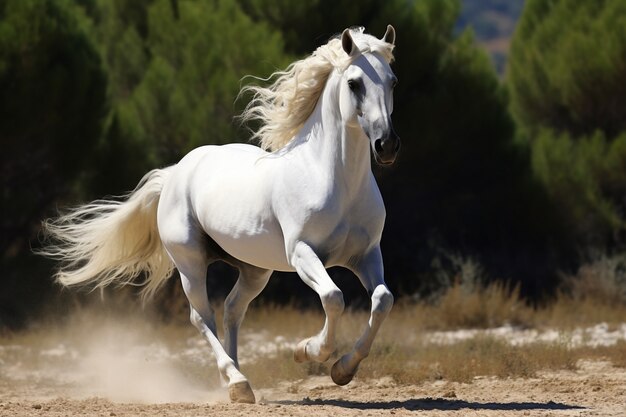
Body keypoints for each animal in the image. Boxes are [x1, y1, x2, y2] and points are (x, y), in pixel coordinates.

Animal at [41, 24, 398, 402]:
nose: (387, 145)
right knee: (202, 317)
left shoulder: (366, 255)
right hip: (190, 263)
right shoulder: (302, 253)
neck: (333, 178)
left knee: (231, 311)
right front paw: (307, 351)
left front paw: (343, 369)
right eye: (354, 83)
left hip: (255, 270)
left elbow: (382, 300)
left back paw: (241, 381)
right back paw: (236, 382)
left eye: (393, 81)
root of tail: (175, 173)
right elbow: (333, 297)